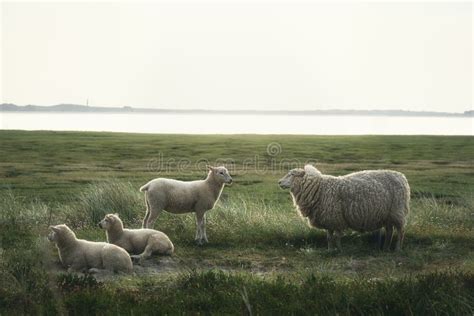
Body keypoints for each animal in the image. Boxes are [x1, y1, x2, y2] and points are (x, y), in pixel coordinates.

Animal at [280, 164, 410, 251]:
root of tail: (401, 177)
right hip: (388, 215)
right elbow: (329, 237)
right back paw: (386, 248)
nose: (279, 182)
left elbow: (337, 237)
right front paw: (330, 250)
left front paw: (339, 250)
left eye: (292, 174)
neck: (319, 188)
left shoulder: (336, 218)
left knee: (401, 231)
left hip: (397, 212)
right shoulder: (329, 219)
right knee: (389, 231)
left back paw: (397, 249)